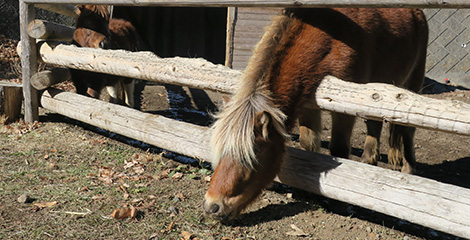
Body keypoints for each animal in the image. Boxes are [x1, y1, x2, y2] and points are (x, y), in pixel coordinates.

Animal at [204, 7, 428, 220]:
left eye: (254, 153)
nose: (212, 206)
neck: (329, 38)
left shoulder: (344, 108)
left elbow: (339, 149)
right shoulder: (308, 107)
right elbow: (309, 144)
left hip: (411, 84)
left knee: (408, 130)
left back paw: (408, 169)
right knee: (374, 123)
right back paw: (368, 161)